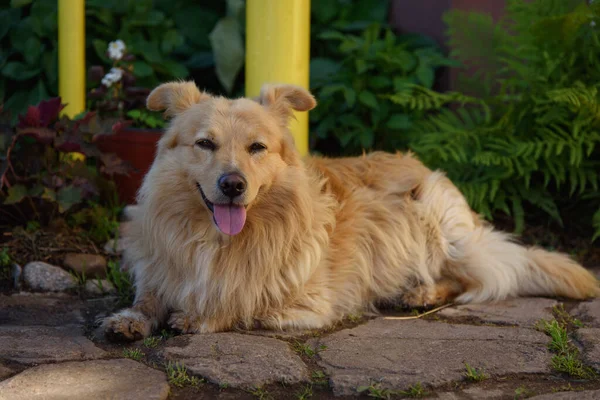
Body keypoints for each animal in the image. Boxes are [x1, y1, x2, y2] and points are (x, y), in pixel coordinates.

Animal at [103, 81, 600, 340]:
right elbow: (148, 296)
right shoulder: (161, 269)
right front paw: (132, 318)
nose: (233, 185)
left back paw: (422, 292)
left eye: (257, 148)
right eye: (205, 144)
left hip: (440, 219)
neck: (220, 239)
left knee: (473, 278)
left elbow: (246, 300)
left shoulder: (306, 302)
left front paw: (201, 315)